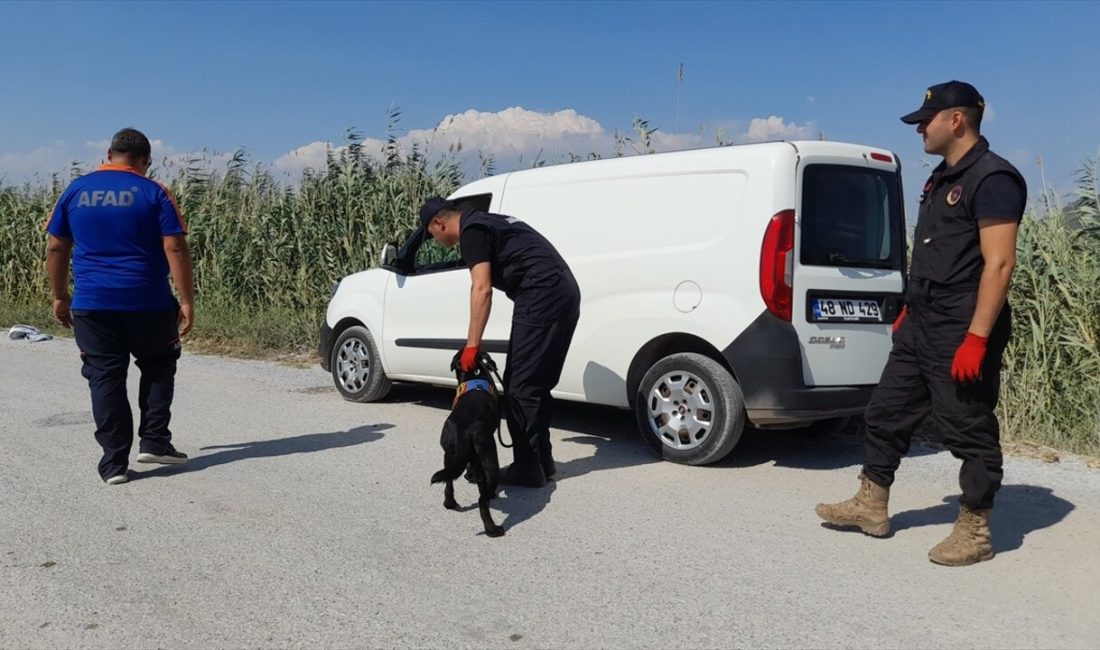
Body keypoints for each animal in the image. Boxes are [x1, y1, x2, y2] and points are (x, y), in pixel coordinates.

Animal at [431, 351, 503, 538]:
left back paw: (450, 503)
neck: (474, 375)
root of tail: (464, 427)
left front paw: (471, 476)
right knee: (482, 501)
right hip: (490, 457)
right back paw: (493, 530)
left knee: (449, 482)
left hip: (449, 455)